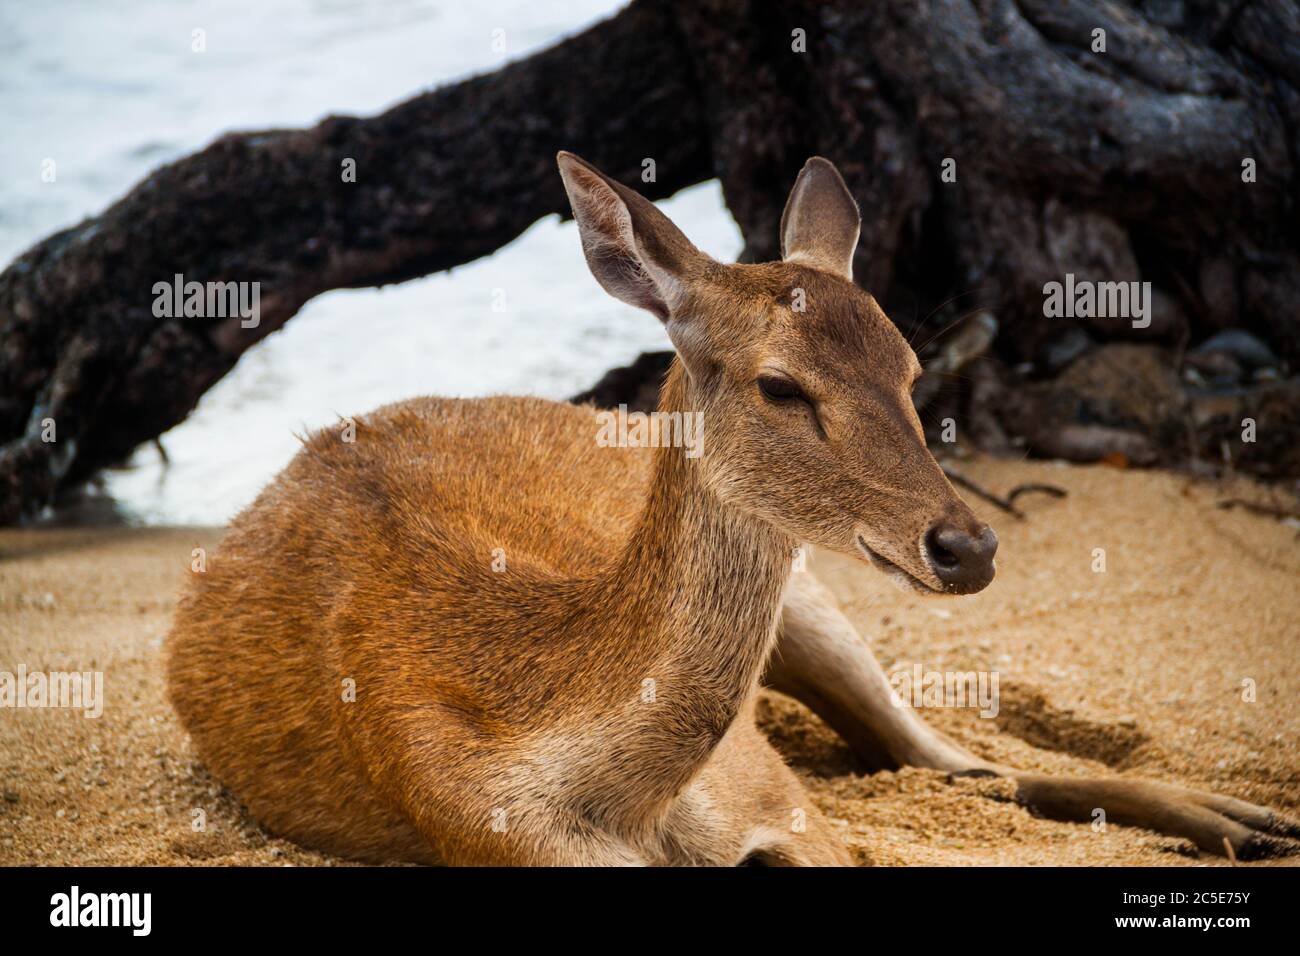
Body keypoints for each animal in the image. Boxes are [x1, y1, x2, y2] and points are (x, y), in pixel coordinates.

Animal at [167, 151, 1294, 868]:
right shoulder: (485, 828)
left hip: (819, 610)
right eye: (781, 386)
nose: (967, 545)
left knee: (963, 761)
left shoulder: (783, 802)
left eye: (911, 366)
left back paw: (1249, 818)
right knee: (962, 770)